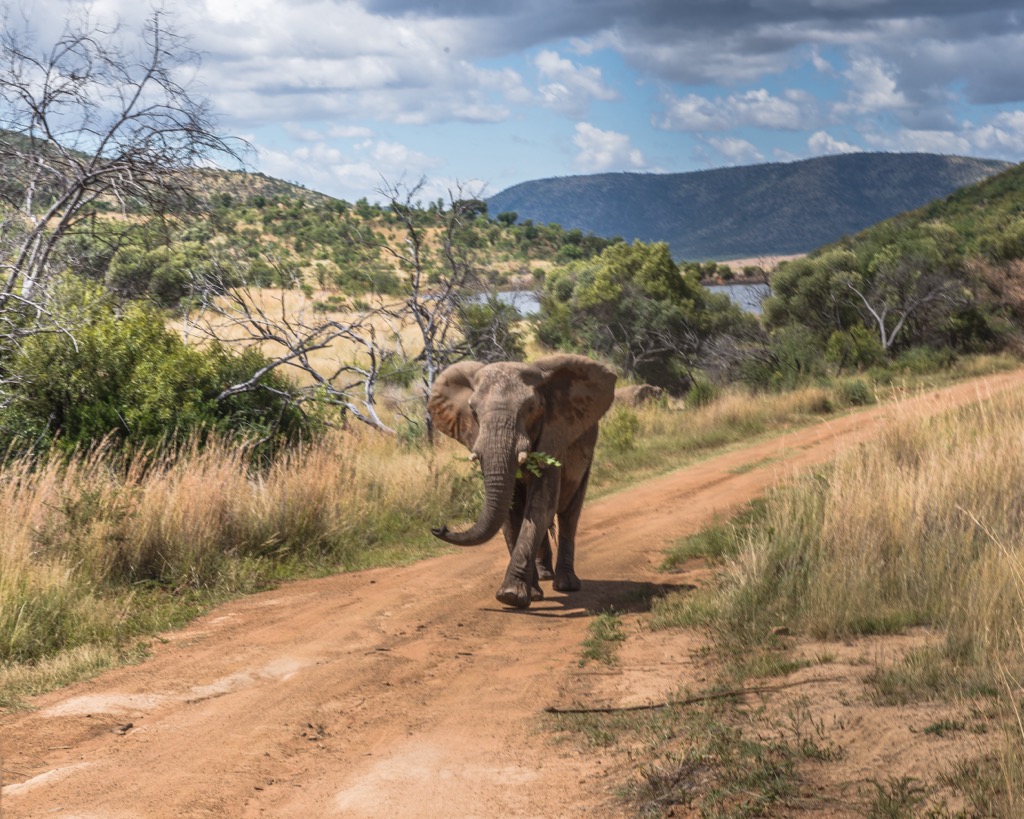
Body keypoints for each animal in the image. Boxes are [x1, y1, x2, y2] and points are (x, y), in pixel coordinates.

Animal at [425, 352, 610, 606]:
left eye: (531, 408)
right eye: (473, 411)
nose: (440, 528)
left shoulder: (553, 435)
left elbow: (541, 506)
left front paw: (511, 596)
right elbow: (511, 513)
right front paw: (526, 594)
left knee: (569, 514)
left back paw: (566, 585)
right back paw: (544, 576)